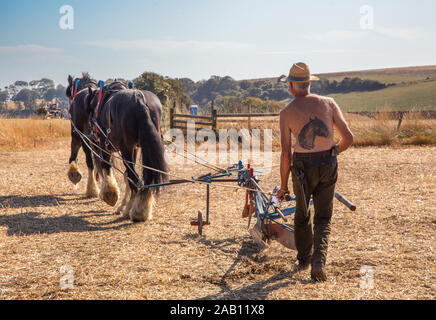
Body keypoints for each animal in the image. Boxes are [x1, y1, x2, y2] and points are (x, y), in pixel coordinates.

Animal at [87, 82, 167, 221]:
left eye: (91, 105)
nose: (92, 129)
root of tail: (139, 100)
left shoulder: (105, 146)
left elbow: (106, 167)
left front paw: (110, 194)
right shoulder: (135, 148)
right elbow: (126, 176)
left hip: (125, 149)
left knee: (133, 176)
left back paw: (133, 210)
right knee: (145, 176)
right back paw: (141, 208)